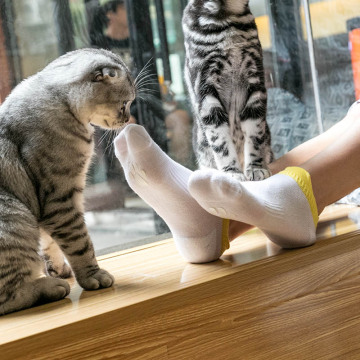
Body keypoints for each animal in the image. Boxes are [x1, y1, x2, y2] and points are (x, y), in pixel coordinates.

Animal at [0, 48, 135, 316]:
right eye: (124, 104)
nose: (128, 120)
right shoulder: (61, 199)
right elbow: (80, 243)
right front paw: (93, 276)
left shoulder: (50, 207)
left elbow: (50, 243)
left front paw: (59, 268)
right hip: (15, 218)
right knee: (7, 297)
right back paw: (49, 287)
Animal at [183, 0, 272, 180]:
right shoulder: (206, 92)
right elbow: (220, 142)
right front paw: (232, 172)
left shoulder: (255, 85)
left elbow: (255, 135)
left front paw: (255, 167)